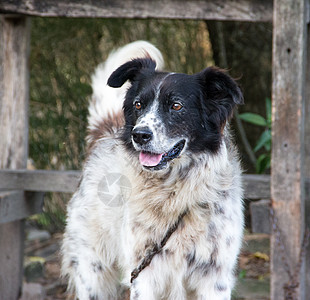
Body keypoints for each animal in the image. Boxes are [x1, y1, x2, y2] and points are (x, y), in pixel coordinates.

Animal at [61, 40, 245, 300]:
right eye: (138, 104)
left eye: (176, 105)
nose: (139, 134)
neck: (174, 192)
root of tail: (103, 135)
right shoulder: (144, 274)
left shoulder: (215, 277)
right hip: (92, 274)